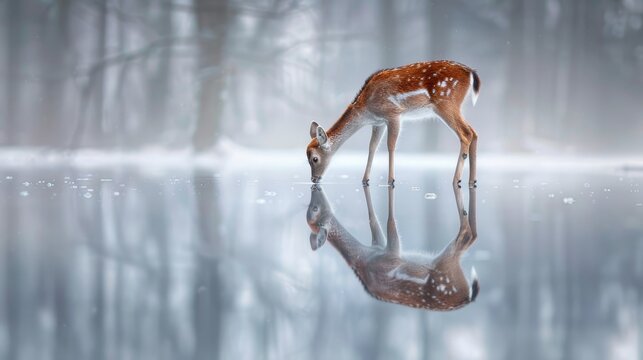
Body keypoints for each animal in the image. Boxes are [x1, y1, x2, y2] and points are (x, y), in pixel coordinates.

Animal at [308, 59, 484, 188]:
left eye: (314, 159)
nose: (314, 179)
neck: (365, 110)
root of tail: (470, 72)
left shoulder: (393, 113)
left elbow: (391, 145)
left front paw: (391, 180)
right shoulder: (378, 122)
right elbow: (372, 147)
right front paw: (365, 179)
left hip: (446, 103)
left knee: (465, 133)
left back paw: (456, 180)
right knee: (474, 132)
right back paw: (472, 181)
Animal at [308, 184, 484, 310]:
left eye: (313, 209)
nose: (316, 187)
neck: (364, 258)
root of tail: (467, 297)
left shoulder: (380, 245)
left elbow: (374, 220)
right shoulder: (391, 255)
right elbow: (390, 224)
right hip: (446, 264)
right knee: (467, 235)